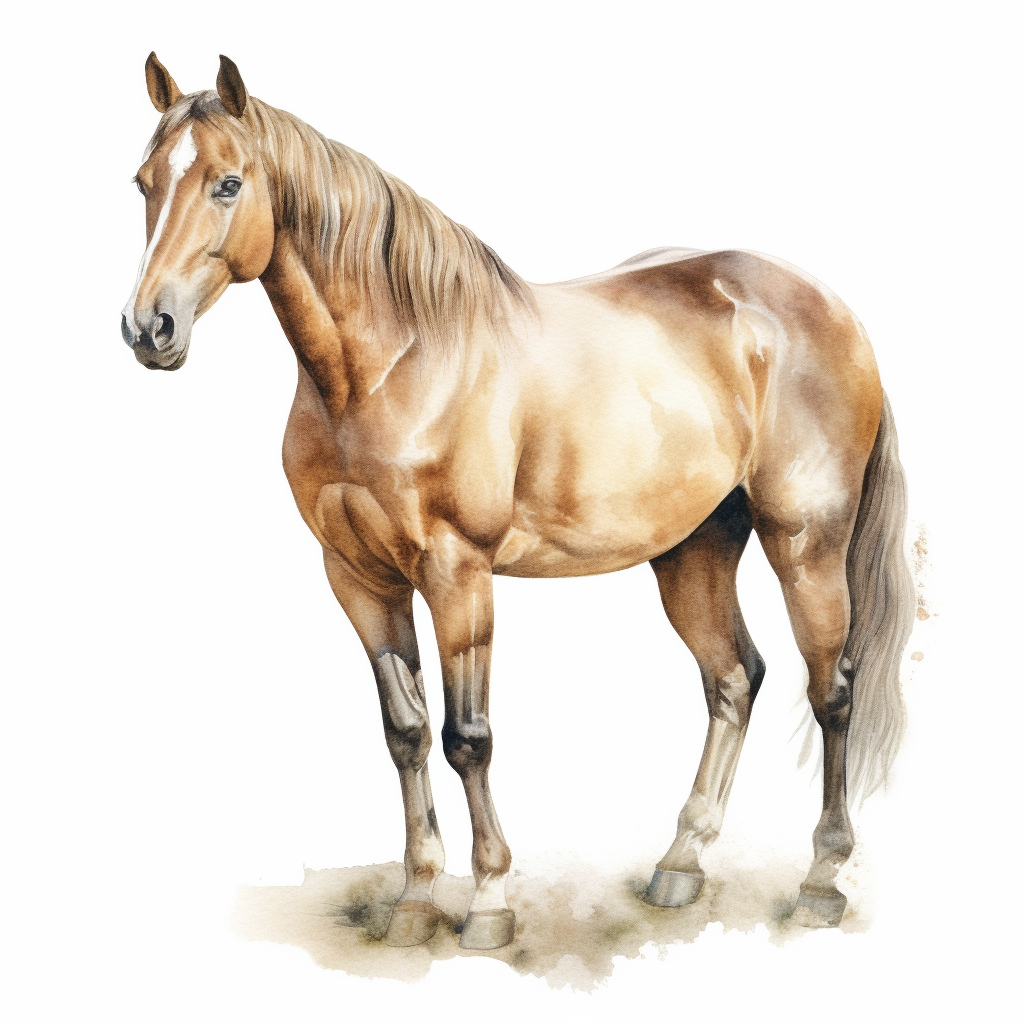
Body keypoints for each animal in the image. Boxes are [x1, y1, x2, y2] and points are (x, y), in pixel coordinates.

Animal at [121, 53, 914, 950]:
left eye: (227, 183)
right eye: (144, 181)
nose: (149, 328)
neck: (395, 362)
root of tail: (830, 310)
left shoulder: (457, 572)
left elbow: (468, 738)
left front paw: (491, 901)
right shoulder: (358, 578)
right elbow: (405, 734)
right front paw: (416, 899)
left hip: (806, 543)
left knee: (831, 692)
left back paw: (820, 881)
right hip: (694, 553)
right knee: (733, 679)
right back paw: (679, 865)